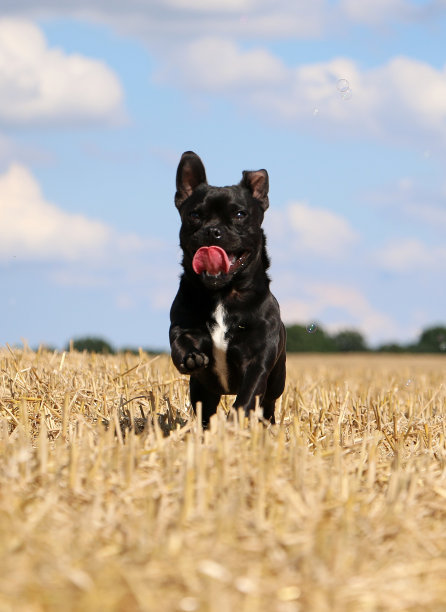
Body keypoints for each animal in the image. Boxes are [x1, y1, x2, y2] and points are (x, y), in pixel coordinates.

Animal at [171, 152, 286, 426]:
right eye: (194, 215)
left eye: (240, 214)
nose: (213, 231)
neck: (223, 293)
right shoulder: (181, 325)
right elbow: (180, 340)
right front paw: (190, 356)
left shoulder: (258, 360)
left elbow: (248, 396)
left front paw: (236, 421)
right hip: (201, 390)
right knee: (206, 410)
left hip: (277, 381)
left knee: (268, 404)